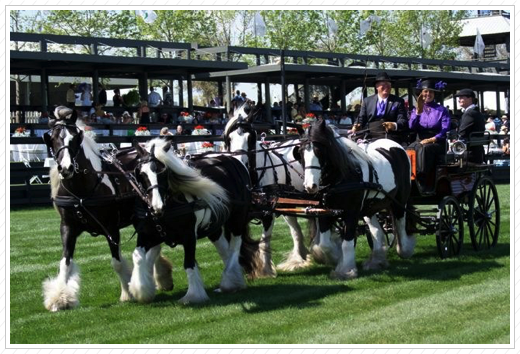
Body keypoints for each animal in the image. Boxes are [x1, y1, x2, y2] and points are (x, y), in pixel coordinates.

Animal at [42, 106, 173, 312]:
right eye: (53, 138)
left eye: (75, 137)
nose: (66, 168)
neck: (82, 191)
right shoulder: (67, 227)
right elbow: (65, 263)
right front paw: (59, 299)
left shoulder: (111, 228)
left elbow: (116, 263)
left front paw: (128, 293)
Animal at [130, 138, 260, 304]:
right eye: (141, 173)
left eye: (164, 172)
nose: (157, 207)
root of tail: (234, 160)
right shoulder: (149, 235)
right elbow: (137, 256)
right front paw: (142, 290)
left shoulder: (189, 236)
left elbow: (189, 264)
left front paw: (193, 295)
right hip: (213, 227)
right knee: (224, 249)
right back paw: (234, 279)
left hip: (237, 219)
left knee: (235, 247)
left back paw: (229, 281)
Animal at [223, 103, 312, 276]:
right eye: (229, 139)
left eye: (250, 138)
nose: (238, 162)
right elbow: (236, 247)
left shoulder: (268, 214)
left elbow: (265, 241)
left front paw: (266, 270)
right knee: (296, 230)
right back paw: (299, 258)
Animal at [298, 119, 416, 280]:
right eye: (301, 153)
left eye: (319, 151)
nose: (310, 186)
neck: (341, 178)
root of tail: (397, 146)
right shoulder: (325, 212)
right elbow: (324, 244)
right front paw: (336, 258)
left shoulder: (351, 213)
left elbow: (347, 243)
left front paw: (346, 270)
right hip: (370, 208)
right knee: (377, 231)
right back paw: (377, 261)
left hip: (399, 201)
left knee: (400, 224)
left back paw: (404, 250)